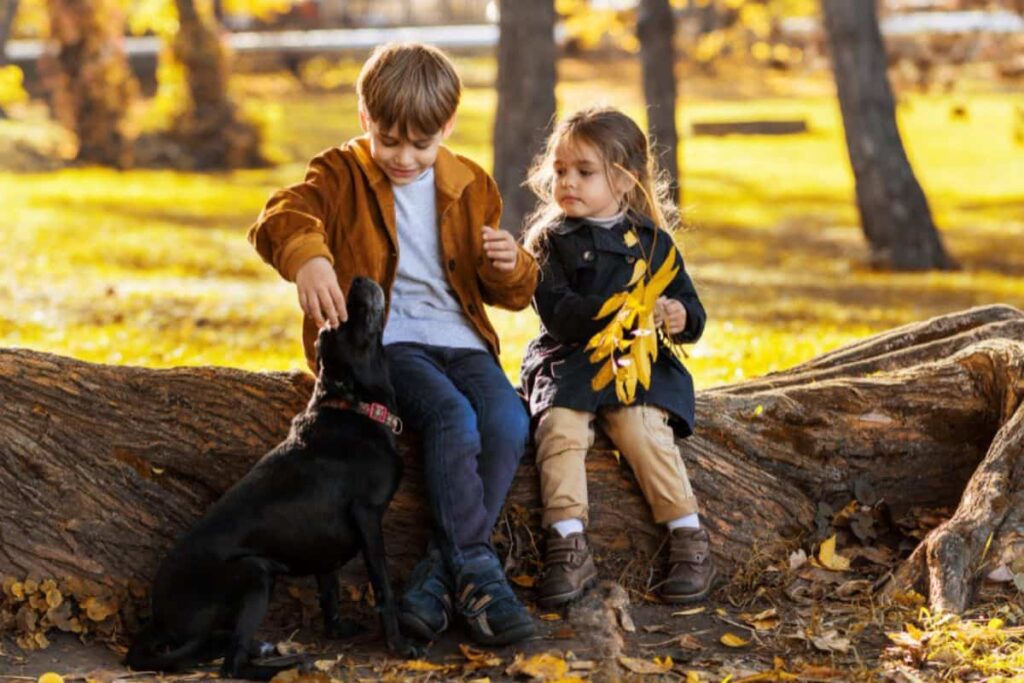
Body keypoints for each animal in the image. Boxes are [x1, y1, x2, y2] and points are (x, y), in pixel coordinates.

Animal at [128, 276, 419, 679]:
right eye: (344, 324)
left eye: (332, 328)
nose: (358, 280)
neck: (354, 409)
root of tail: (158, 620)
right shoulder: (368, 515)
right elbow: (383, 587)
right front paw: (398, 645)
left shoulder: (322, 545)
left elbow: (329, 589)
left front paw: (337, 630)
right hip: (255, 573)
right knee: (231, 665)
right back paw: (286, 664)